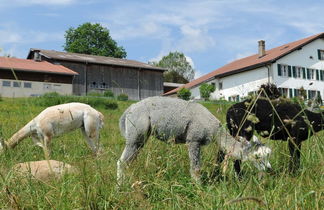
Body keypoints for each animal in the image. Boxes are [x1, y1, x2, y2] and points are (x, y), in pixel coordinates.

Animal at [116, 96, 270, 185]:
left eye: (268, 155)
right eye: (258, 157)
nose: (269, 169)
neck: (215, 131)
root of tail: (129, 109)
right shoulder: (193, 140)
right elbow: (195, 169)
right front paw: (199, 188)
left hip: (140, 137)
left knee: (129, 161)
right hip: (136, 132)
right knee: (122, 162)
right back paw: (120, 187)